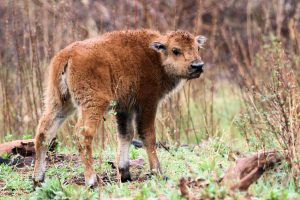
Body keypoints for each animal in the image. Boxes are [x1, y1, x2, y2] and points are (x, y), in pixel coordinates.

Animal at [32, 28, 206, 187]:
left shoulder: (124, 108)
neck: (156, 55)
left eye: (197, 48)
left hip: (59, 101)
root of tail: (67, 55)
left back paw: (38, 179)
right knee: (83, 134)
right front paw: (158, 173)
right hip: (94, 103)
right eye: (176, 50)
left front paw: (125, 174)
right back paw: (92, 181)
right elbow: (147, 135)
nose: (197, 66)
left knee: (44, 133)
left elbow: (126, 135)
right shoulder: (147, 103)